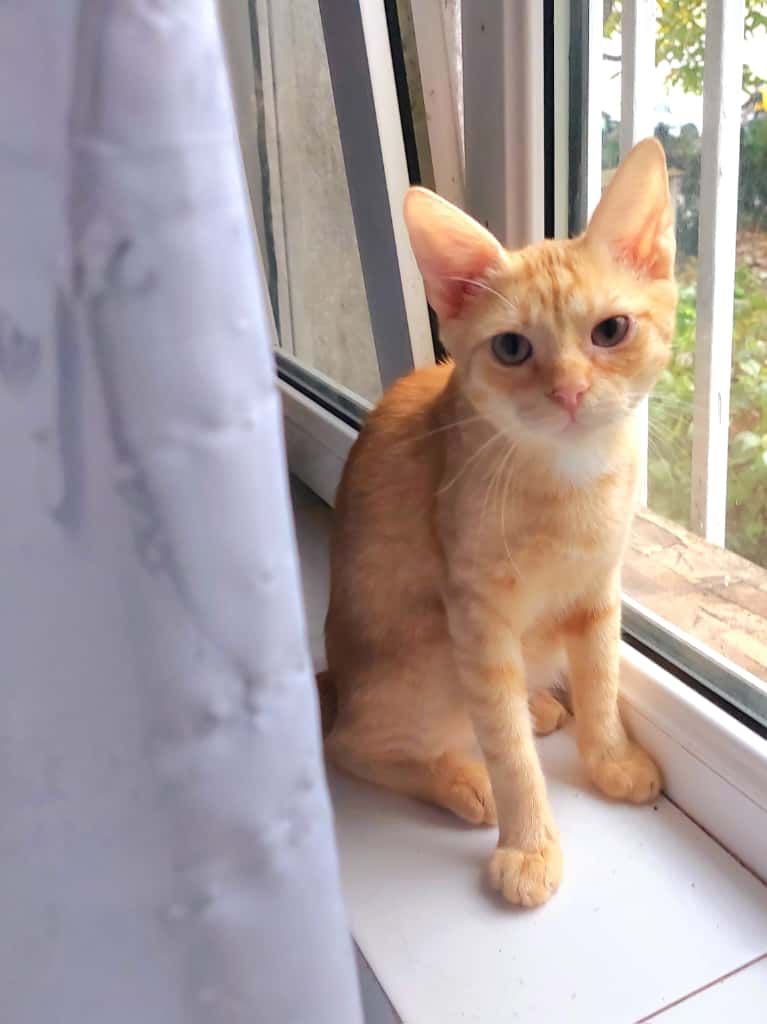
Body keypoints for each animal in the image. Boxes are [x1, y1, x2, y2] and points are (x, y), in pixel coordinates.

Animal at [319, 139, 677, 907]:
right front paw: (529, 845)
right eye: (511, 348)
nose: (569, 391)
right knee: (349, 744)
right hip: (427, 648)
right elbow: (507, 747)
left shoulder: (598, 596)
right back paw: (459, 777)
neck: (568, 480)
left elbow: (601, 685)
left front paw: (610, 760)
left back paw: (539, 704)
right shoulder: (477, 623)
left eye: (610, 331)